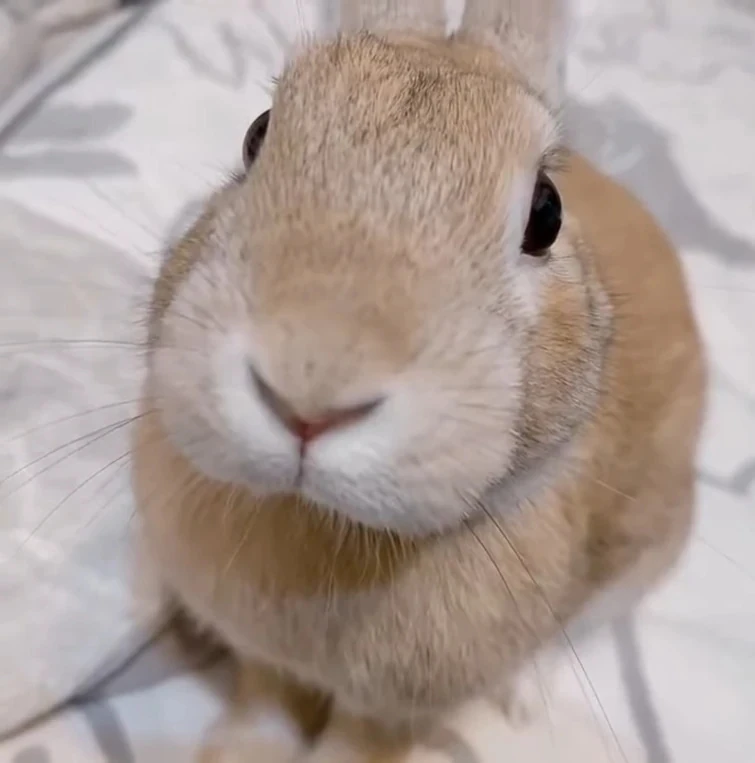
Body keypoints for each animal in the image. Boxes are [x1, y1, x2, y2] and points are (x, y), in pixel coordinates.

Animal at [131, 0, 707, 760]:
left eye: (546, 213)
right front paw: (232, 751)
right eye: (258, 134)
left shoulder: (391, 711)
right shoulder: (265, 660)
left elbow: (356, 743)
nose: (307, 395)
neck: (321, 526)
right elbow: (266, 703)